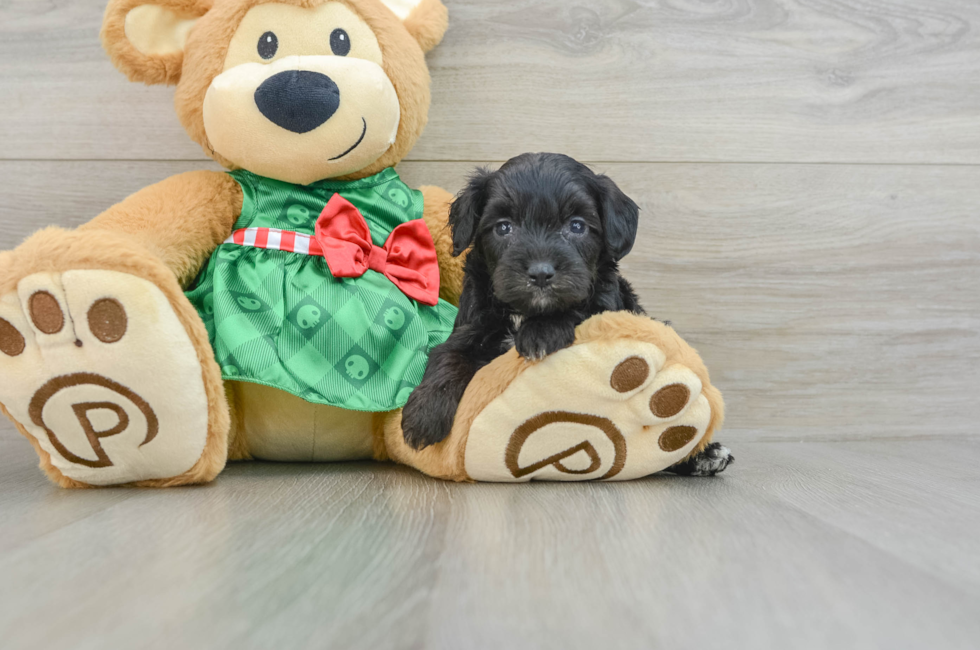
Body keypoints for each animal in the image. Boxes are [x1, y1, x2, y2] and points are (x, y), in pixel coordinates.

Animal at [402, 152, 648, 448]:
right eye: (503, 227)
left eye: (577, 225)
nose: (541, 273)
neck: (523, 312)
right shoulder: (471, 325)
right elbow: (447, 354)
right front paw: (424, 413)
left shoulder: (602, 306)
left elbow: (579, 309)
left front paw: (541, 331)